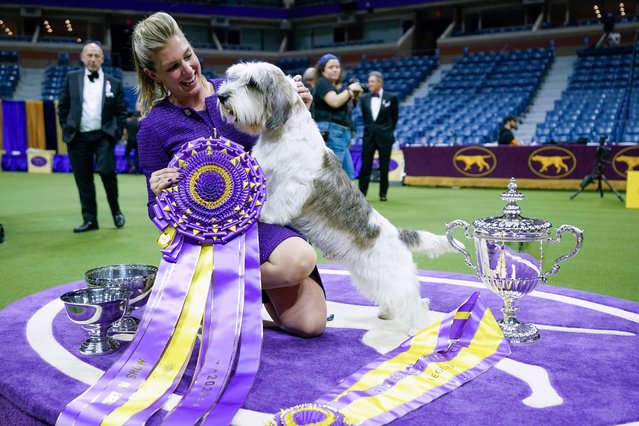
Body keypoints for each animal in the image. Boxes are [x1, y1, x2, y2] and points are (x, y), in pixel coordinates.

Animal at [219, 61, 456, 334]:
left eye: (252, 84)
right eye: (233, 78)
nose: (221, 96)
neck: (281, 135)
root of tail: (397, 233)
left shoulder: (293, 185)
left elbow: (277, 204)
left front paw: (264, 216)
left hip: (391, 274)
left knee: (416, 301)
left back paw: (418, 329)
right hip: (368, 274)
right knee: (392, 297)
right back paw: (387, 313)